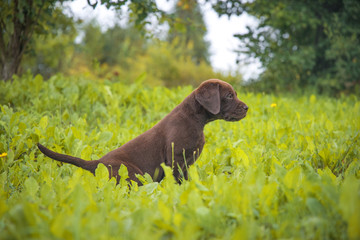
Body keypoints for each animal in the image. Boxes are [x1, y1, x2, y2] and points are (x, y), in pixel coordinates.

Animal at [38, 79, 249, 185]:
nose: (247, 108)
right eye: (229, 96)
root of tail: (96, 163)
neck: (196, 119)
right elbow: (178, 180)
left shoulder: (187, 163)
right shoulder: (176, 160)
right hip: (132, 174)